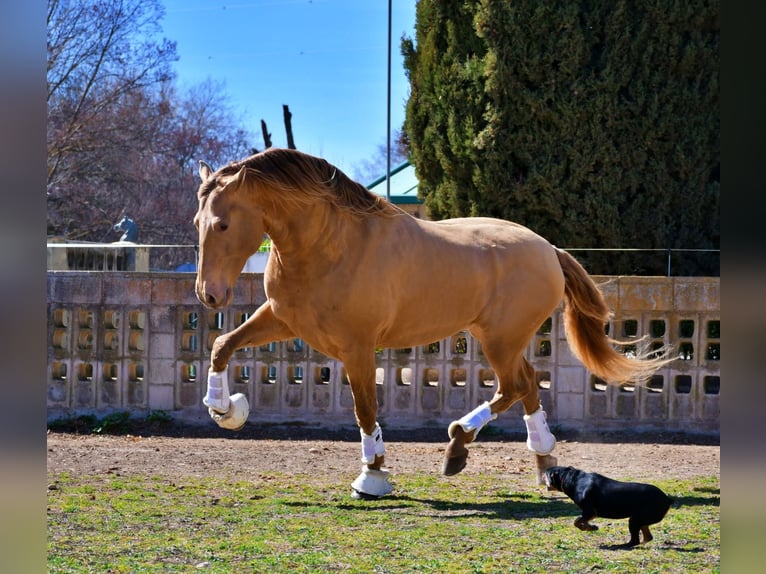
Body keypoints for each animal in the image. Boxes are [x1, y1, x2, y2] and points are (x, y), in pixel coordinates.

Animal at [194, 147, 672, 500]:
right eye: (198, 222)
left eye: (223, 223)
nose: (209, 295)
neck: (330, 244)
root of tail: (549, 249)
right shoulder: (282, 320)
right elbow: (222, 345)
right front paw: (224, 409)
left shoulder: (357, 347)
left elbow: (365, 408)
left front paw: (373, 475)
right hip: (499, 338)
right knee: (527, 385)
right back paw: (543, 463)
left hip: (500, 339)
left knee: (516, 386)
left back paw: (459, 444)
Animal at [544, 466, 676, 548]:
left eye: (545, 475)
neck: (569, 477)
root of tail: (667, 499)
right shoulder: (589, 513)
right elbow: (579, 521)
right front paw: (591, 527)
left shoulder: (590, 512)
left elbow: (576, 521)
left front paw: (590, 528)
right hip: (641, 520)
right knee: (647, 537)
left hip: (635, 520)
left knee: (634, 541)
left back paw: (619, 545)